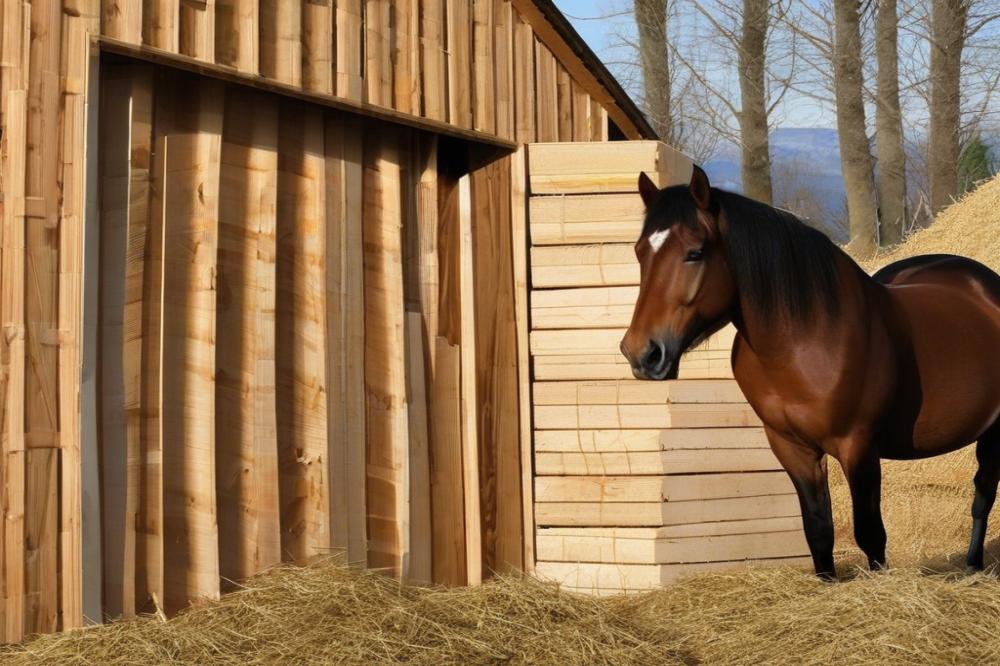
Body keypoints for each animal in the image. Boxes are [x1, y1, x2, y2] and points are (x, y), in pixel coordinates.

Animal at [620, 165, 1000, 576]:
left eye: (694, 253)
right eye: (640, 252)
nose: (641, 352)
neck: (803, 339)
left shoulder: (858, 446)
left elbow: (871, 535)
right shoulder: (792, 449)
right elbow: (818, 532)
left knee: (982, 495)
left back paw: (974, 566)